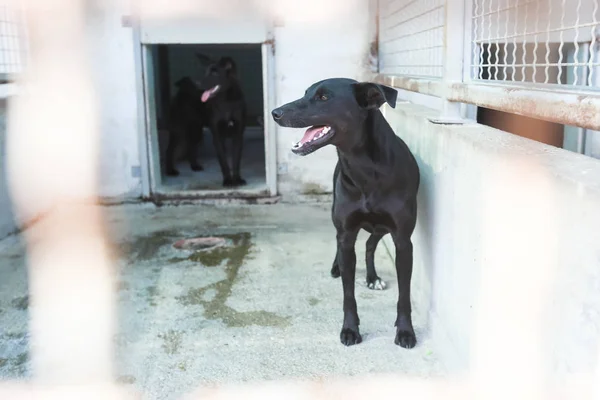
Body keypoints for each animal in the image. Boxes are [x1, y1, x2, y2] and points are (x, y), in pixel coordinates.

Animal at [198, 54, 247, 187]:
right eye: (205, 72)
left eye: (215, 73)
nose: (197, 83)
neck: (226, 101)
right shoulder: (217, 136)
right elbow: (223, 161)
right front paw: (228, 180)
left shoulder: (238, 135)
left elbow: (236, 160)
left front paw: (237, 179)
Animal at [270, 77, 420, 346]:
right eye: (305, 93)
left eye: (323, 97)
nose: (275, 113)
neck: (367, 169)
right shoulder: (347, 232)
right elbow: (348, 294)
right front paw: (350, 329)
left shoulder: (403, 240)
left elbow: (405, 295)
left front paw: (405, 330)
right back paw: (338, 267)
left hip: (381, 227)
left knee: (370, 244)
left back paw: (372, 277)